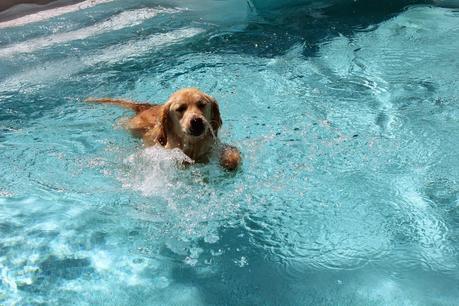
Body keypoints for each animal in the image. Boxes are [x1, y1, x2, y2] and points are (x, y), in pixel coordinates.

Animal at [87, 87, 244, 171]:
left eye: (201, 104)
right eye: (180, 108)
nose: (196, 121)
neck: (192, 145)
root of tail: (145, 107)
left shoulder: (214, 145)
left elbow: (231, 151)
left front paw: (230, 160)